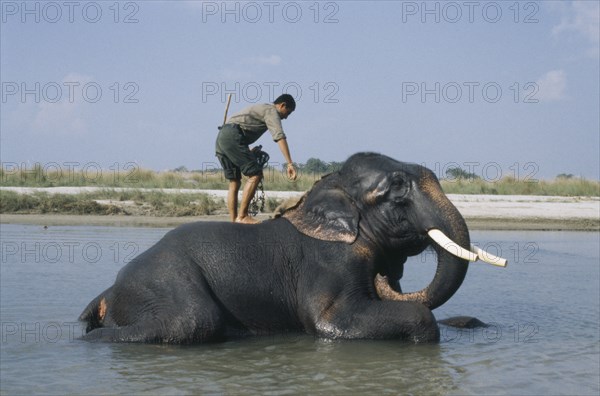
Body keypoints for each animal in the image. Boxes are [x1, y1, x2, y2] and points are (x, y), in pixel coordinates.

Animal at [78, 152, 496, 344]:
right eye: (396, 191)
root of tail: (108, 291)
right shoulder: (328, 264)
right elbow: (330, 322)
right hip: (161, 283)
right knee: (192, 321)